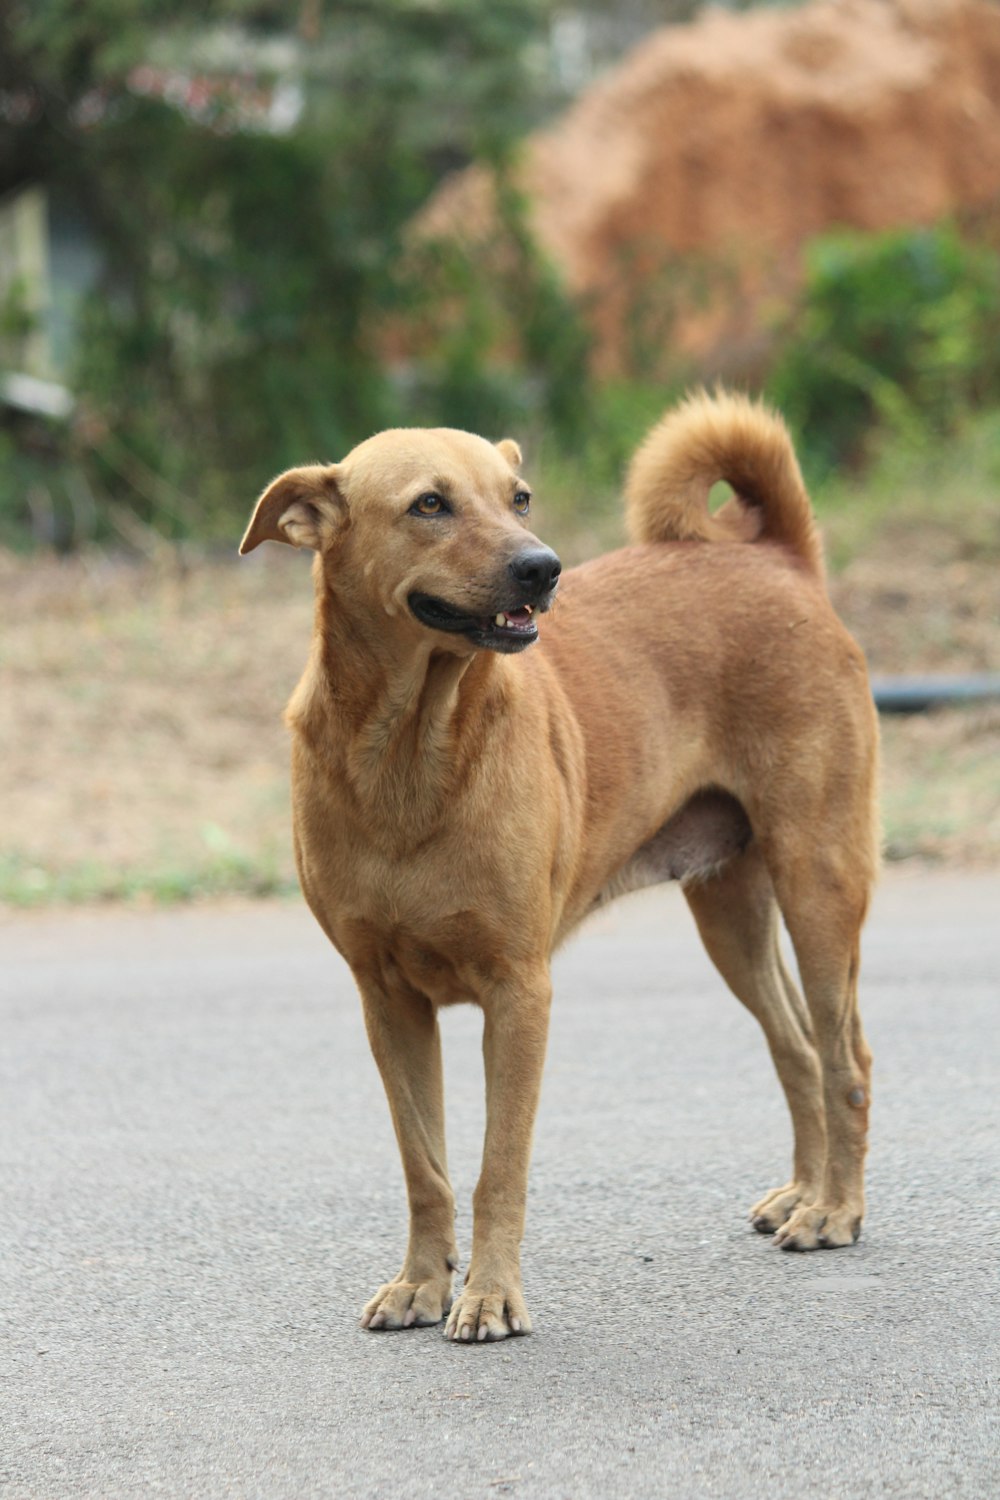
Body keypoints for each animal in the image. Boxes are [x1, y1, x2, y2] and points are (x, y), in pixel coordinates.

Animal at [239, 393, 875, 1344]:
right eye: (430, 504)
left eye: (520, 497)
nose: (543, 567)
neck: (409, 752)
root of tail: (776, 558)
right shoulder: (386, 1000)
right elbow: (425, 1167)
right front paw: (423, 1282)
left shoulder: (519, 993)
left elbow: (498, 1167)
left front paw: (490, 1296)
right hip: (730, 911)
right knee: (796, 1046)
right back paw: (805, 1191)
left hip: (819, 883)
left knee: (846, 1060)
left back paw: (836, 1210)